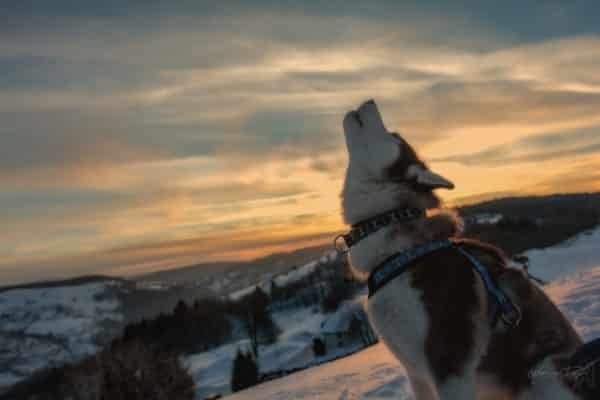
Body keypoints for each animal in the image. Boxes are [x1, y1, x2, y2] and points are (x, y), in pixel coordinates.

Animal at [342, 100, 584, 400]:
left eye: (394, 135)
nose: (371, 101)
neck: (398, 253)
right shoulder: (417, 375)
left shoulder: (449, 364)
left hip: (544, 373)